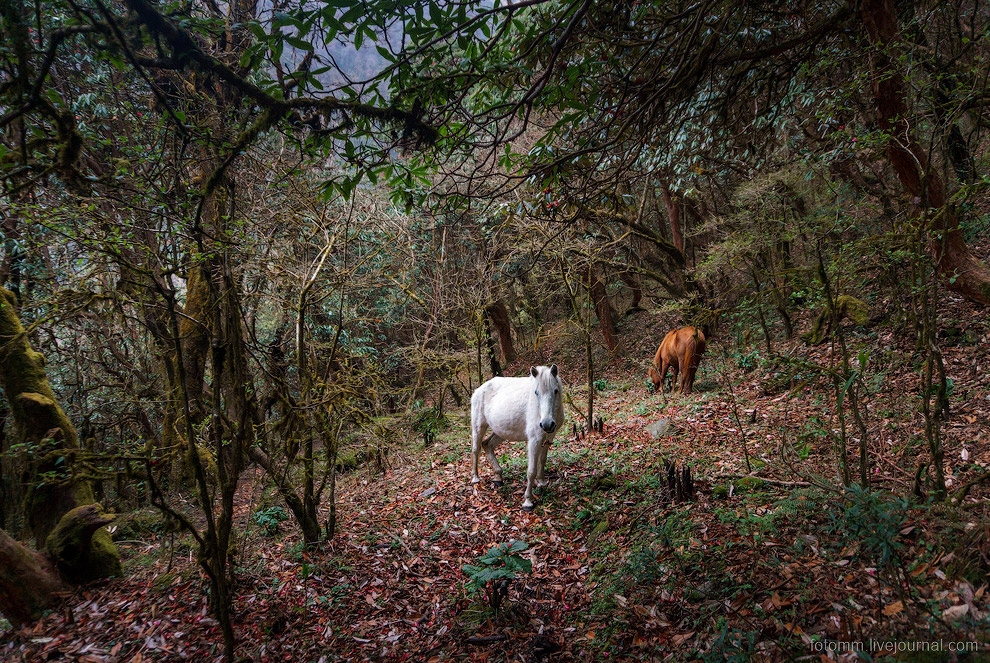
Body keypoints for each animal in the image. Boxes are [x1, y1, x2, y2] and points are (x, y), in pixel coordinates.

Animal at [468, 366, 560, 510]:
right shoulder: (534, 441)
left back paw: (498, 477)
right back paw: (475, 478)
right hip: (478, 426)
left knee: (487, 444)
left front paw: (542, 482)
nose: (547, 424)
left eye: (555, 391)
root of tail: (478, 390)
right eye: (536, 393)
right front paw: (528, 501)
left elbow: (542, 460)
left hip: (500, 431)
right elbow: (531, 471)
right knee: (476, 449)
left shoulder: (548, 437)